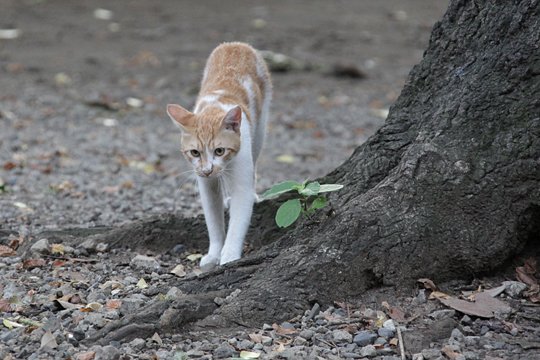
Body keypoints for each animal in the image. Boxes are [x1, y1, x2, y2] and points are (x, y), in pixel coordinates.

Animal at [167, 42, 272, 268]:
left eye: (219, 151)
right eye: (195, 152)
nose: (208, 169)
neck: (213, 107)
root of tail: (236, 44)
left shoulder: (241, 174)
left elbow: (238, 220)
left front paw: (229, 256)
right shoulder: (205, 184)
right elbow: (213, 221)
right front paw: (214, 253)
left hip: (260, 129)